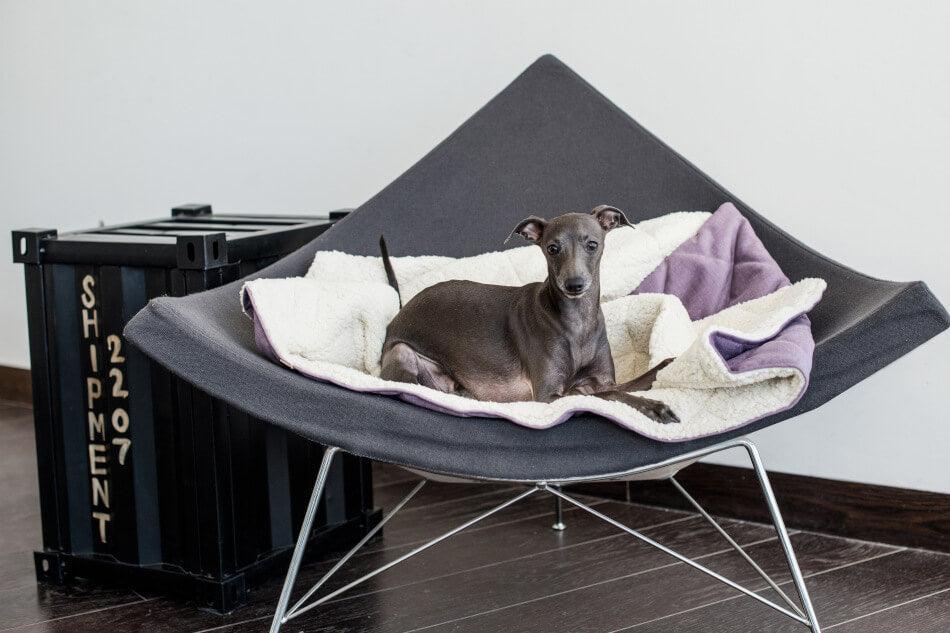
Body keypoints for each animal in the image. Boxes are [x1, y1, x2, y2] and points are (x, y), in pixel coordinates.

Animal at [376, 206, 680, 424]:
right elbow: (609, 394)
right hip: (402, 352)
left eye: (592, 244)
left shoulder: (604, 378)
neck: (577, 322)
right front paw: (656, 407)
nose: (574, 285)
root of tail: (400, 312)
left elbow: (628, 384)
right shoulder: (549, 396)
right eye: (552, 248)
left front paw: (669, 363)